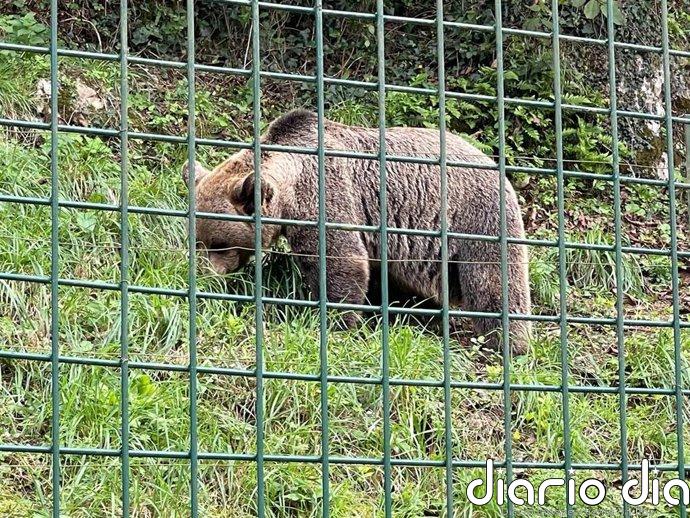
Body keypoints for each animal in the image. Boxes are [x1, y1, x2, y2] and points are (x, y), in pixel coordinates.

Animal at [183, 109, 531, 354]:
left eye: (219, 243)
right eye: (197, 240)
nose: (204, 274)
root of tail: (494, 163)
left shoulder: (326, 195)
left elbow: (340, 261)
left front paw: (339, 322)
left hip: (476, 216)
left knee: (493, 280)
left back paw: (507, 343)